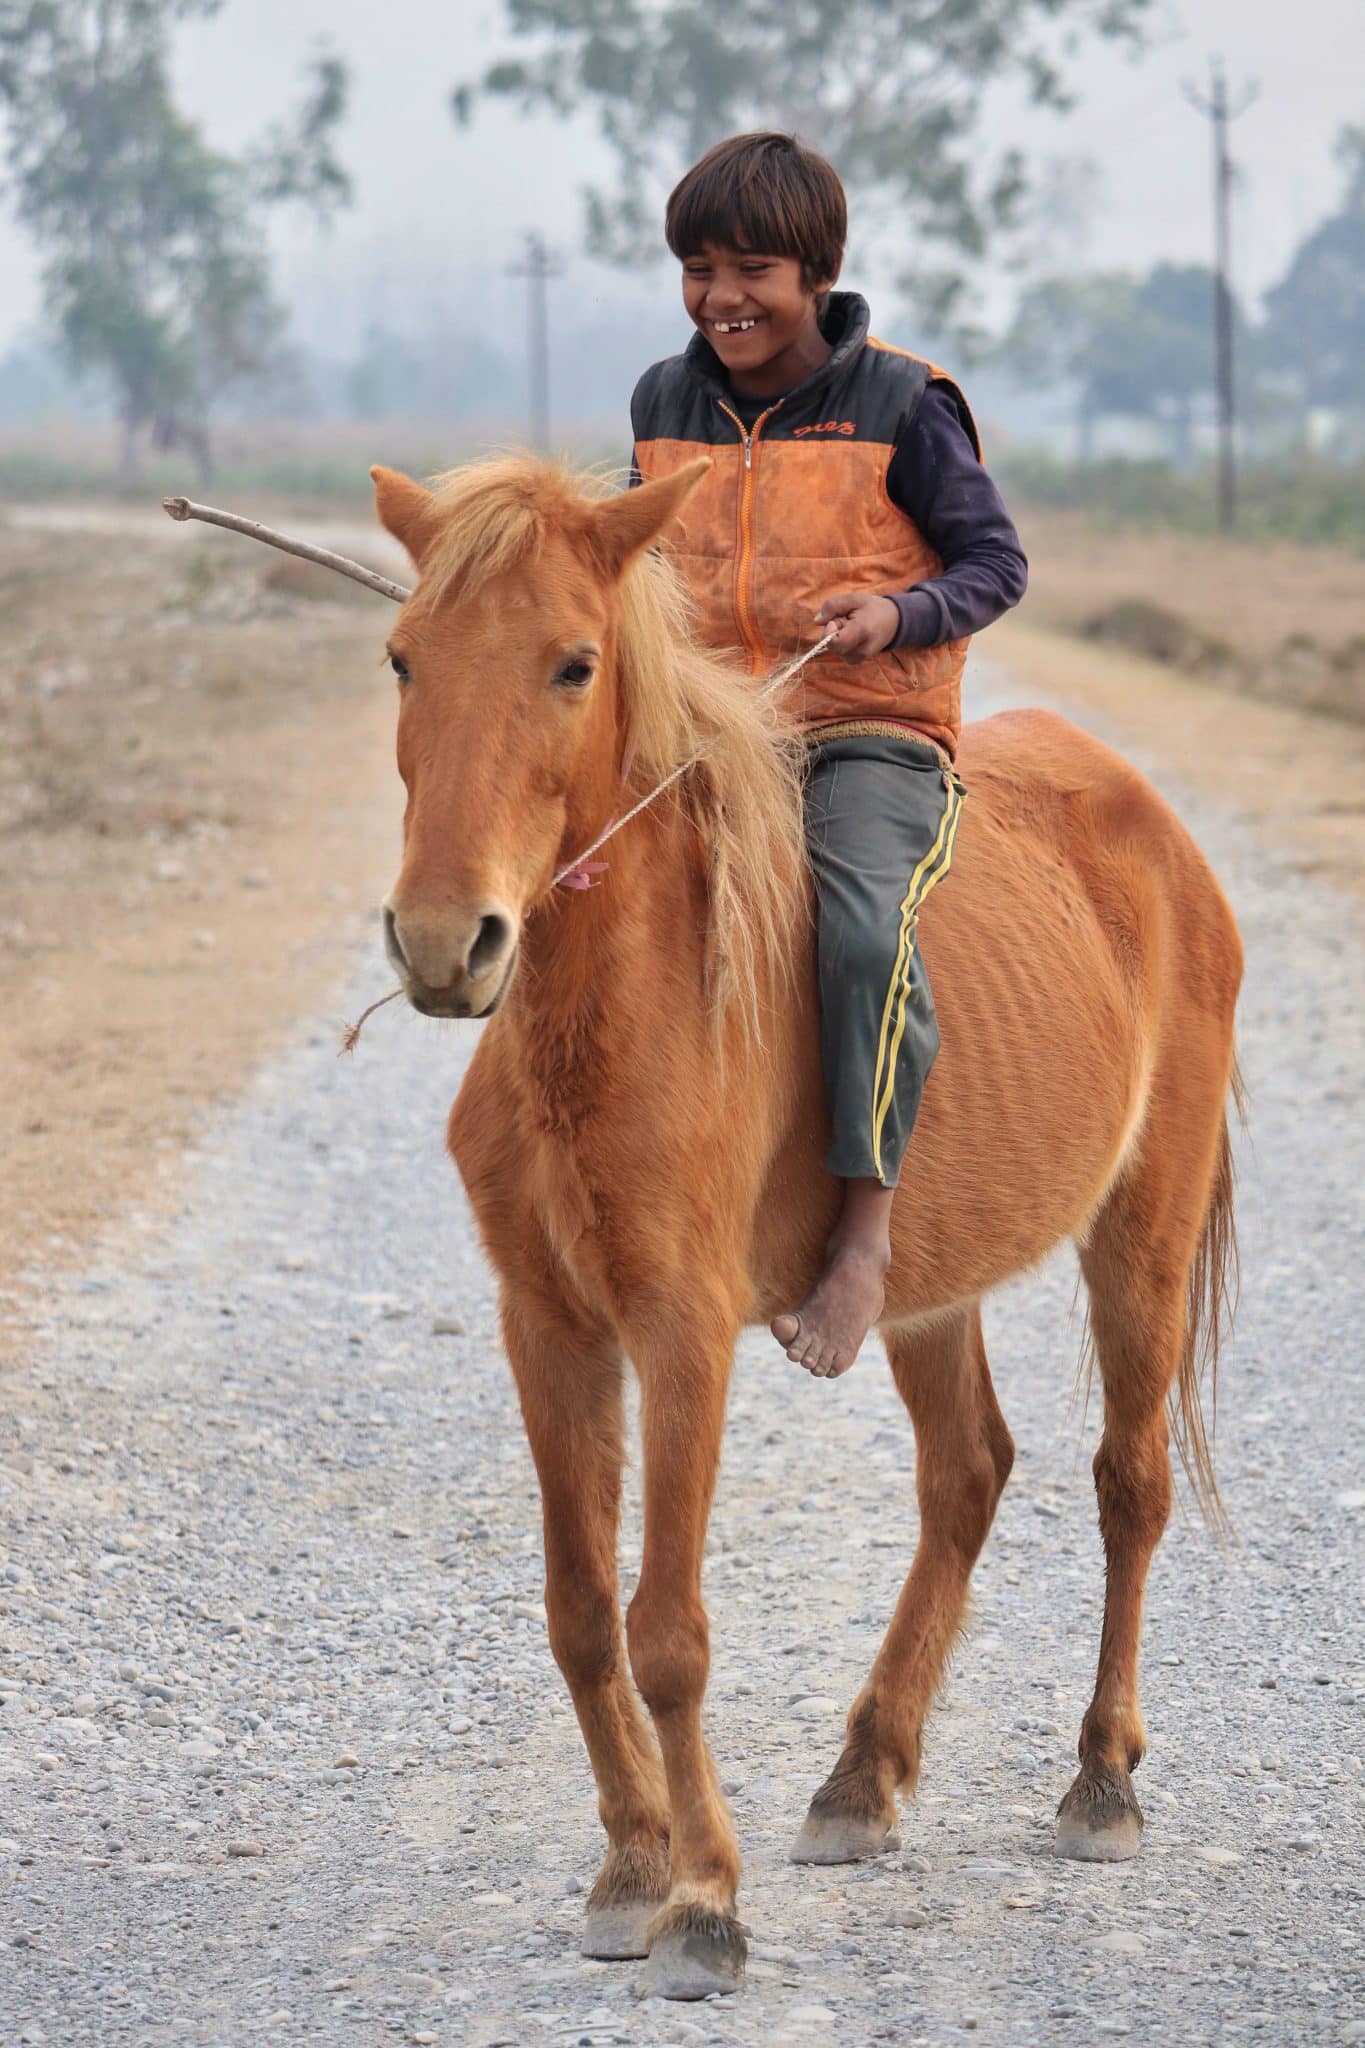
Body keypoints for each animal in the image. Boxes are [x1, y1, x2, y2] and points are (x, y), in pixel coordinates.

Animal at [368, 452, 1244, 1998]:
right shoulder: (548, 1328)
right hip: (924, 1283)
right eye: (405, 657)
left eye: (573, 664)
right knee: (967, 1473)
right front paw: (629, 1866)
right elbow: (580, 1615)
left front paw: (703, 1899)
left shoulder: (681, 1335)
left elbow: (665, 1630)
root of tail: (1154, 829)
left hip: (1143, 1224)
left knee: (1128, 1482)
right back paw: (861, 1774)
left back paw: (1099, 1780)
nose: (439, 940)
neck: (608, 1013)